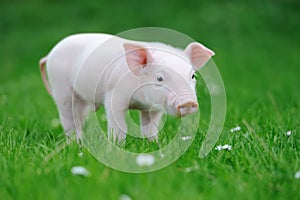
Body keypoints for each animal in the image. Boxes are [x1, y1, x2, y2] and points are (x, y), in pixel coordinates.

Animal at [39, 33, 214, 142]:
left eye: (192, 76)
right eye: (159, 78)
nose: (188, 102)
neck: (139, 102)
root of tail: (50, 54)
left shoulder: (153, 108)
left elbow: (150, 128)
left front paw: (154, 145)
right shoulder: (113, 94)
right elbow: (119, 125)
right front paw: (118, 146)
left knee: (79, 116)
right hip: (60, 87)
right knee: (67, 117)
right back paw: (76, 143)